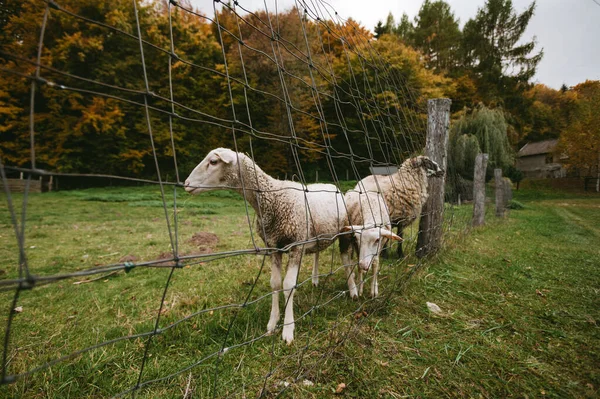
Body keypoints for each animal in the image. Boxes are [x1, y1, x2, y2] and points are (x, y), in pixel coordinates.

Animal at [185, 148, 350, 346]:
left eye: (214, 161)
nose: (186, 184)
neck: (272, 198)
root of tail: (331, 185)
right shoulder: (272, 247)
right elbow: (275, 283)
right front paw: (272, 323)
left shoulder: (296, 245)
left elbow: (288, 285)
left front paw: (288, 330)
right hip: (318, 234)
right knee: (317, 253)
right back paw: (315, 279)